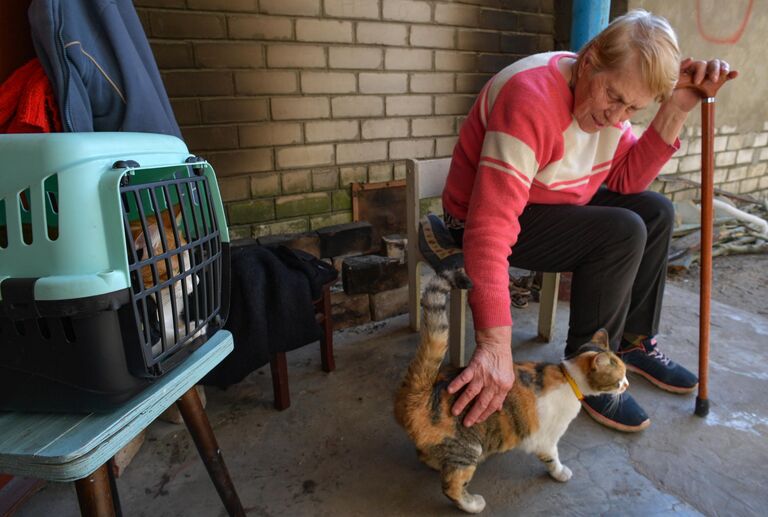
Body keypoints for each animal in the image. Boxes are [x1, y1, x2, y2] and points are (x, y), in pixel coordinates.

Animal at [0, 133, 231, 412]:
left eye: (192, 264)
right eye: (177, 271)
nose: (195, 281)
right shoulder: (151, 337)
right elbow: (169, 338)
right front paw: (195, 328)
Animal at [396, 270, 632, 512]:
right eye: (620, 378)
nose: (627, 385)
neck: (569, 377)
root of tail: (421, 389)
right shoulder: (547, 439)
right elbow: (553, 459)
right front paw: (560, 473)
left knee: (425, 456)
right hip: (466, 448)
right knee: (452, 486)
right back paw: (472, 504)